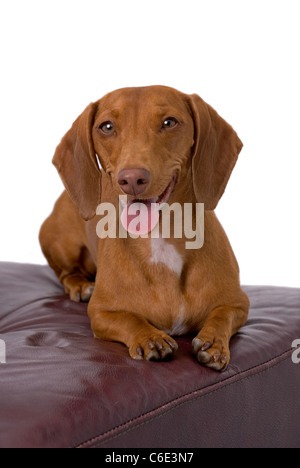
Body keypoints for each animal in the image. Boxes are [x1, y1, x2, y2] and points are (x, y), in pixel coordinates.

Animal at [40, 84, 251, 370]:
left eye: (169, 122)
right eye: (107, 127)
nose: (132, 179)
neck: (161, 237)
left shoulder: (239, 304)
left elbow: (222, 314)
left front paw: (214, 341)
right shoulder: (101, 313)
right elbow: (129, 318)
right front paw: (150, 338)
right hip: (61, 245)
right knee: (65, 273)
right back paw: (80, 285)